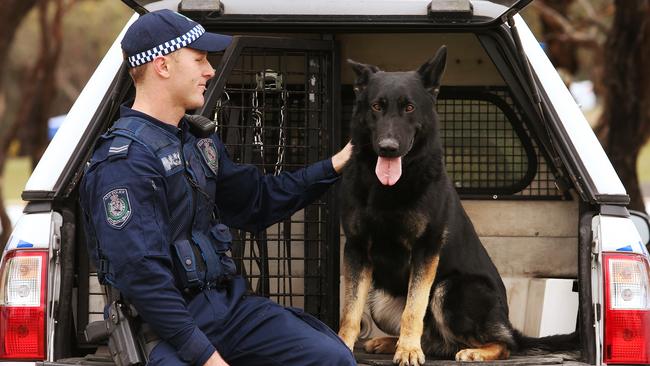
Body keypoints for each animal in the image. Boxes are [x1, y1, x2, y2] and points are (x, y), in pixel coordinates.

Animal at [336, 45, 576, 366]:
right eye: (376, 106)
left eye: (409, 108)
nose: (388, 148)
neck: (389, 188)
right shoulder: (356, 249)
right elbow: (350, 312)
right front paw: (341, 344)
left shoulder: (426, 250)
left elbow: (414, 310)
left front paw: (408, 351)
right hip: (380, 298)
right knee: (436, 341)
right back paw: (392, 343)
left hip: (450, 289)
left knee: (503, 344)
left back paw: (471, 350)